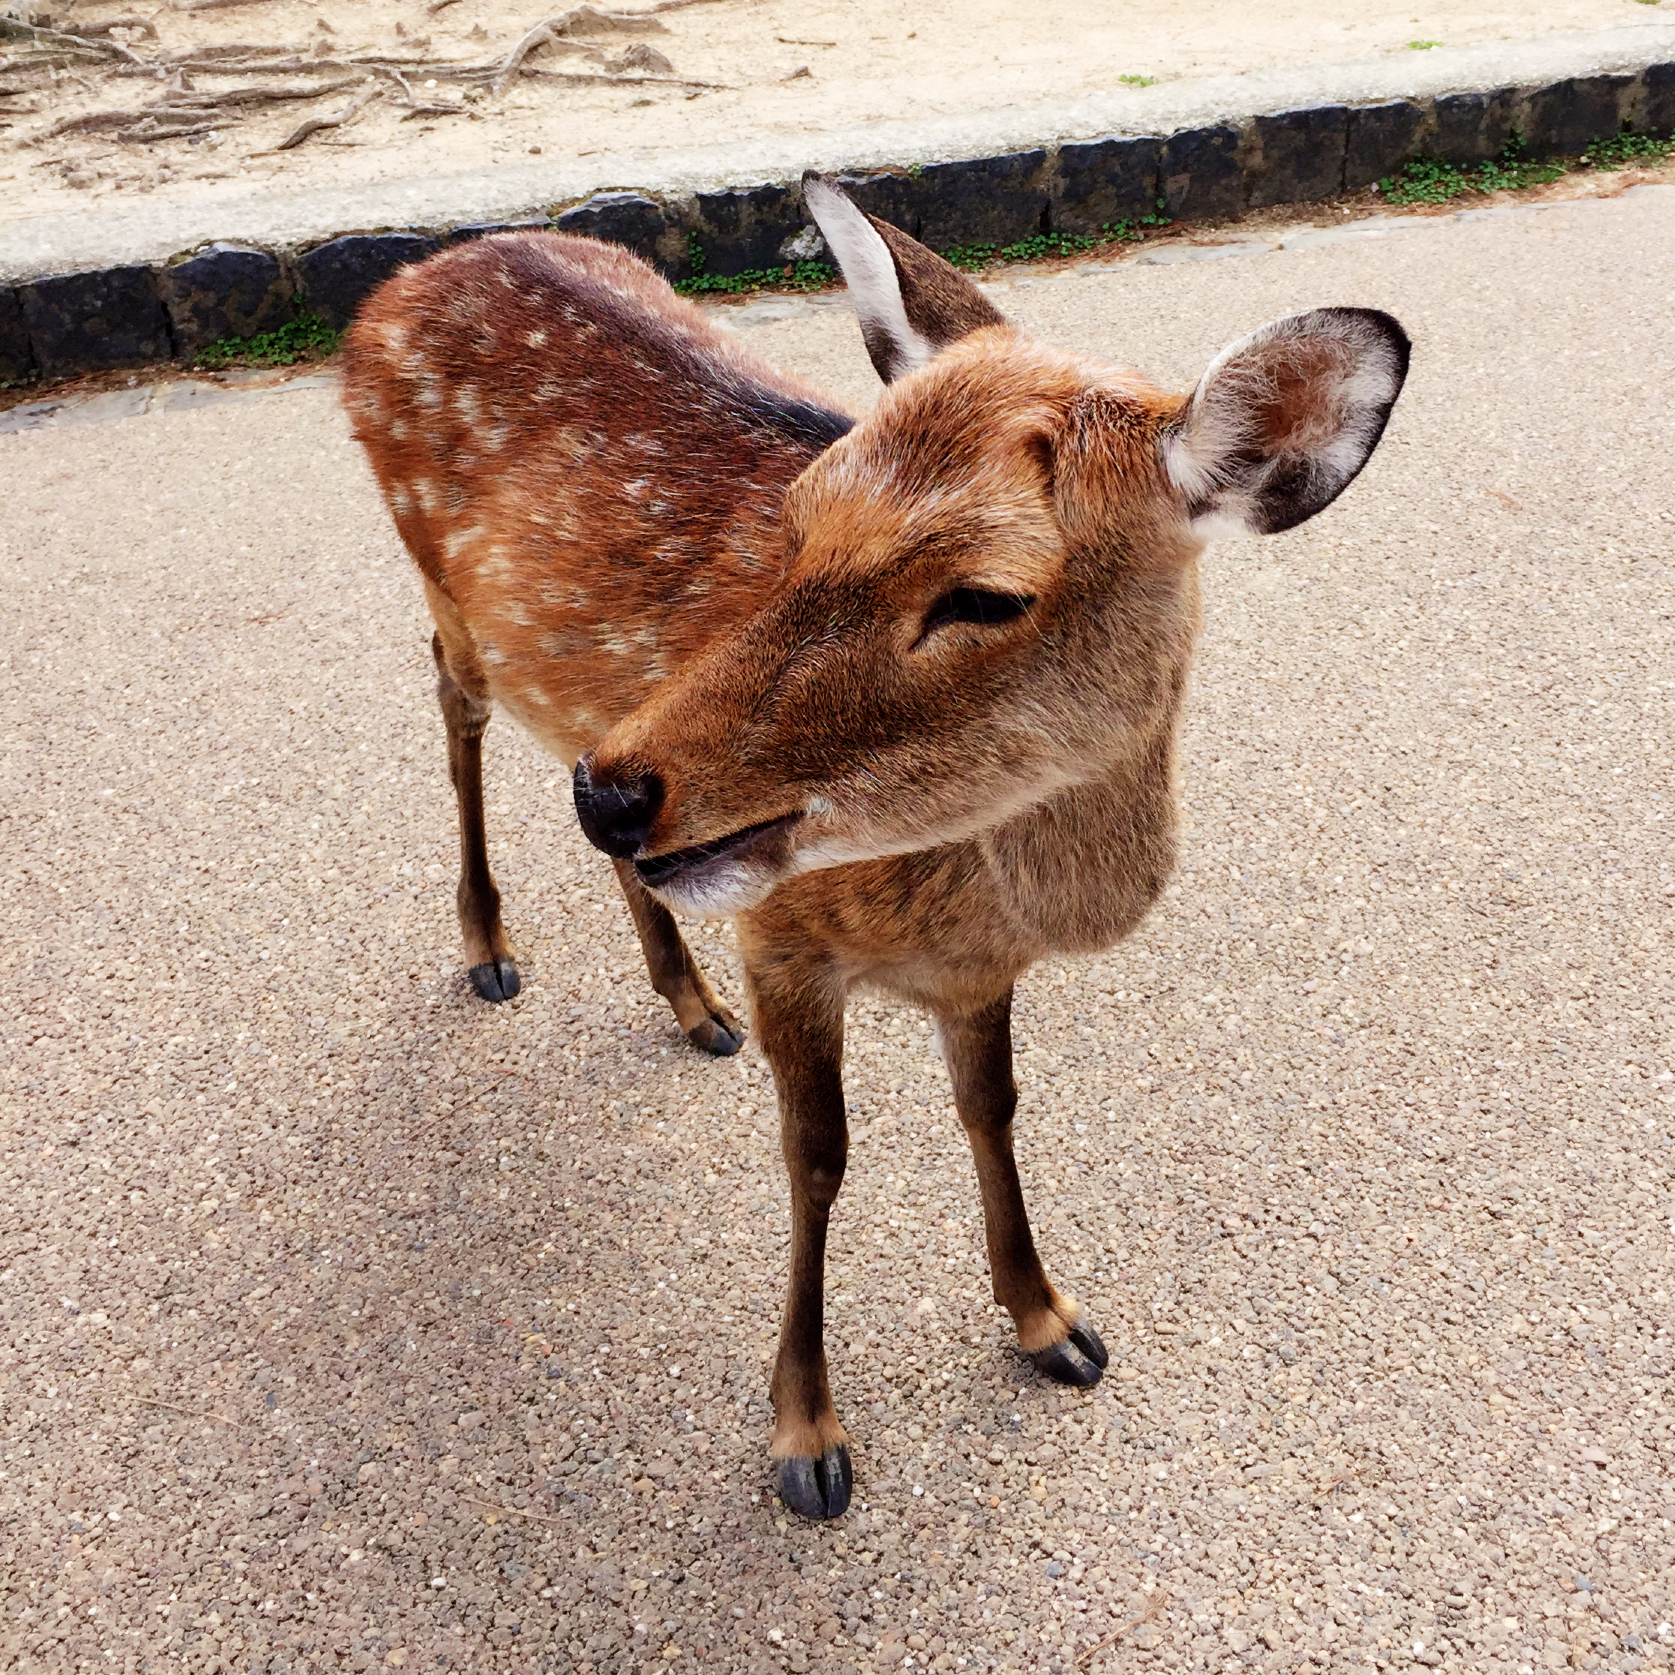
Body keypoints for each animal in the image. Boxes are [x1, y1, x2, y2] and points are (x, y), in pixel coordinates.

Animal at [343, 176, 1413, 1527]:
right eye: (801, 517)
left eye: (986, 593)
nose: (618, 796)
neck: (954, 908)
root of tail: (395, 288)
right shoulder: (782, 934)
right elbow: (818, 1160)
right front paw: (807, 1435)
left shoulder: (976, 973)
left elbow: (991, 1110)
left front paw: (1050, 1322)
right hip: (444, 597)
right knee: (453, 706)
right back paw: (490, 943)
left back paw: (685, 999)